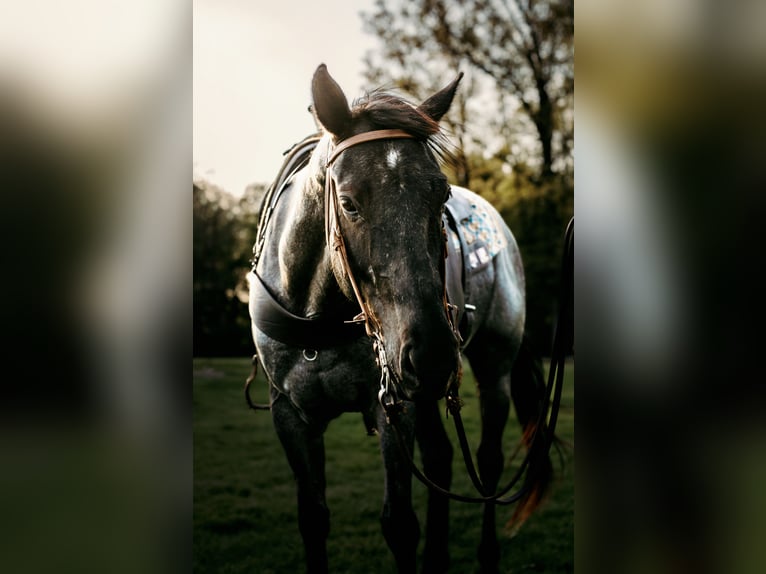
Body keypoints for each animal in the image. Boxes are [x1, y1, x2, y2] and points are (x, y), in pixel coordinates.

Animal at [247, 64, 554, 574]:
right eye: (349, 203)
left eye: (440, 195)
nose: (432, 353)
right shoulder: (290, 413)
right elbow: (313, 517)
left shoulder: (393, 405)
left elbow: (400, 525)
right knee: (441, 456)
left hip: (491, 368)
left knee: (488, 461)